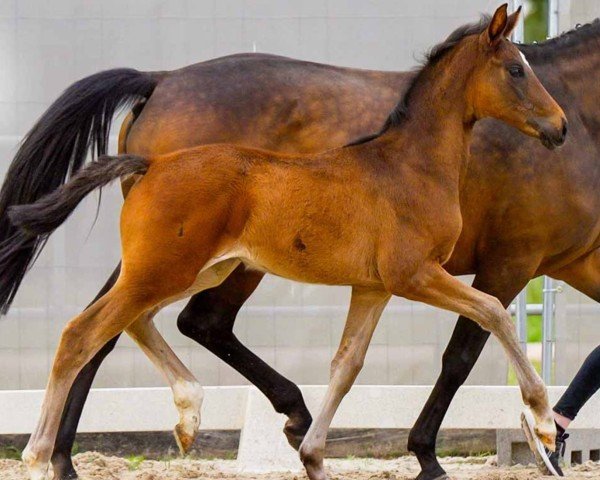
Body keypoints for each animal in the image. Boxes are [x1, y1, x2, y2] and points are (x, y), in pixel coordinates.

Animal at [0, 9, 596, 480]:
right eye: (516, 70)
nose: (559, 127)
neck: (409, 163)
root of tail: (151, 161)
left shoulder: (374, 287)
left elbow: (347, 365)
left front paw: (313, 457)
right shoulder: (431, 272)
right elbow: (486, 321)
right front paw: (540, 427)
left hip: (199, 269)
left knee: (137, 321)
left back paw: (190, 415)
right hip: (168, 268)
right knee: (85, 333)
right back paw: (43, 457)